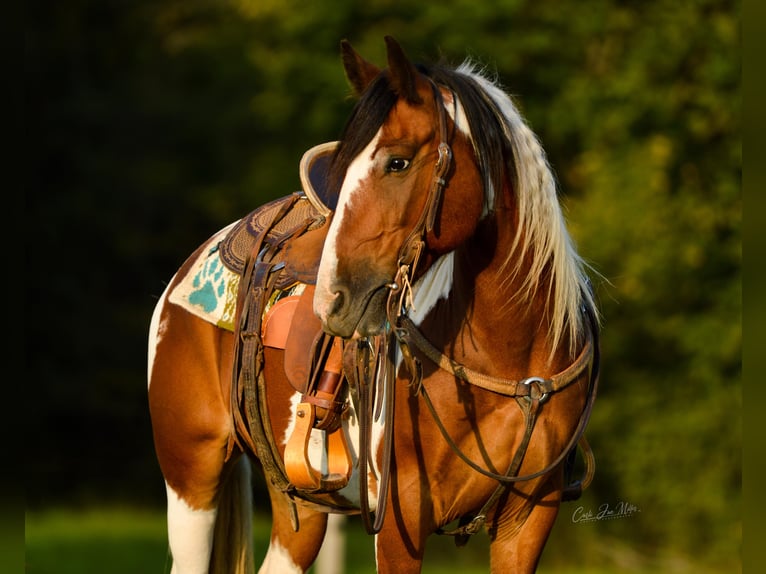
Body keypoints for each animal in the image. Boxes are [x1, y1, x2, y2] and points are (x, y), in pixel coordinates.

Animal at [148, 37, 600, 574]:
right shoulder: (401, 514)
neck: (512, 359)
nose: (331, 300)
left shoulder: (528, 520)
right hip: (191, 476)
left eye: (398, 162)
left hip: (298, 501)